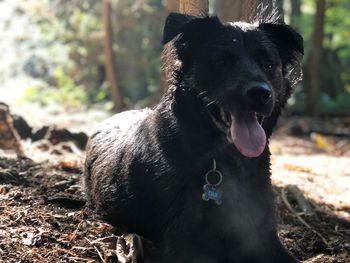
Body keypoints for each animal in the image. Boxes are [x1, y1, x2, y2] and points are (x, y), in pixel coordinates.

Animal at [83, 12, 302, 263]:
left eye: (268, 64)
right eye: (221, 62)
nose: (259, 93)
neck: (223, 162)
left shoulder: (263, 237)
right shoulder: (183, 243)